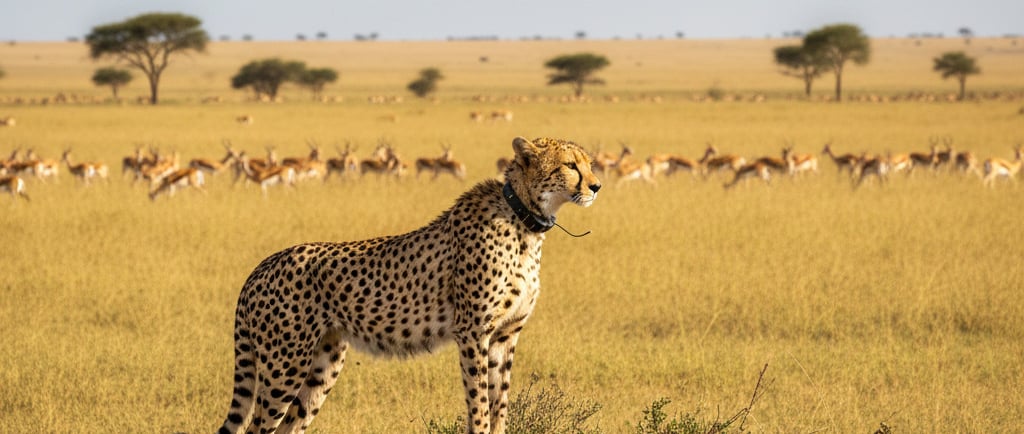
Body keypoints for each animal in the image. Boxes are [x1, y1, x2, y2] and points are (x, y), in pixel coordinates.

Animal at [217, 136, 602, 434]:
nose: (596, 186)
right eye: (570, 165)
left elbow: (499, 403)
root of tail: (262, 266)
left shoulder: (505, 335)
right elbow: (478, 403)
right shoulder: (473, 331)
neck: (524, 221)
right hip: (285, 363)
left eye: (590, 164)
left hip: (322, 362)